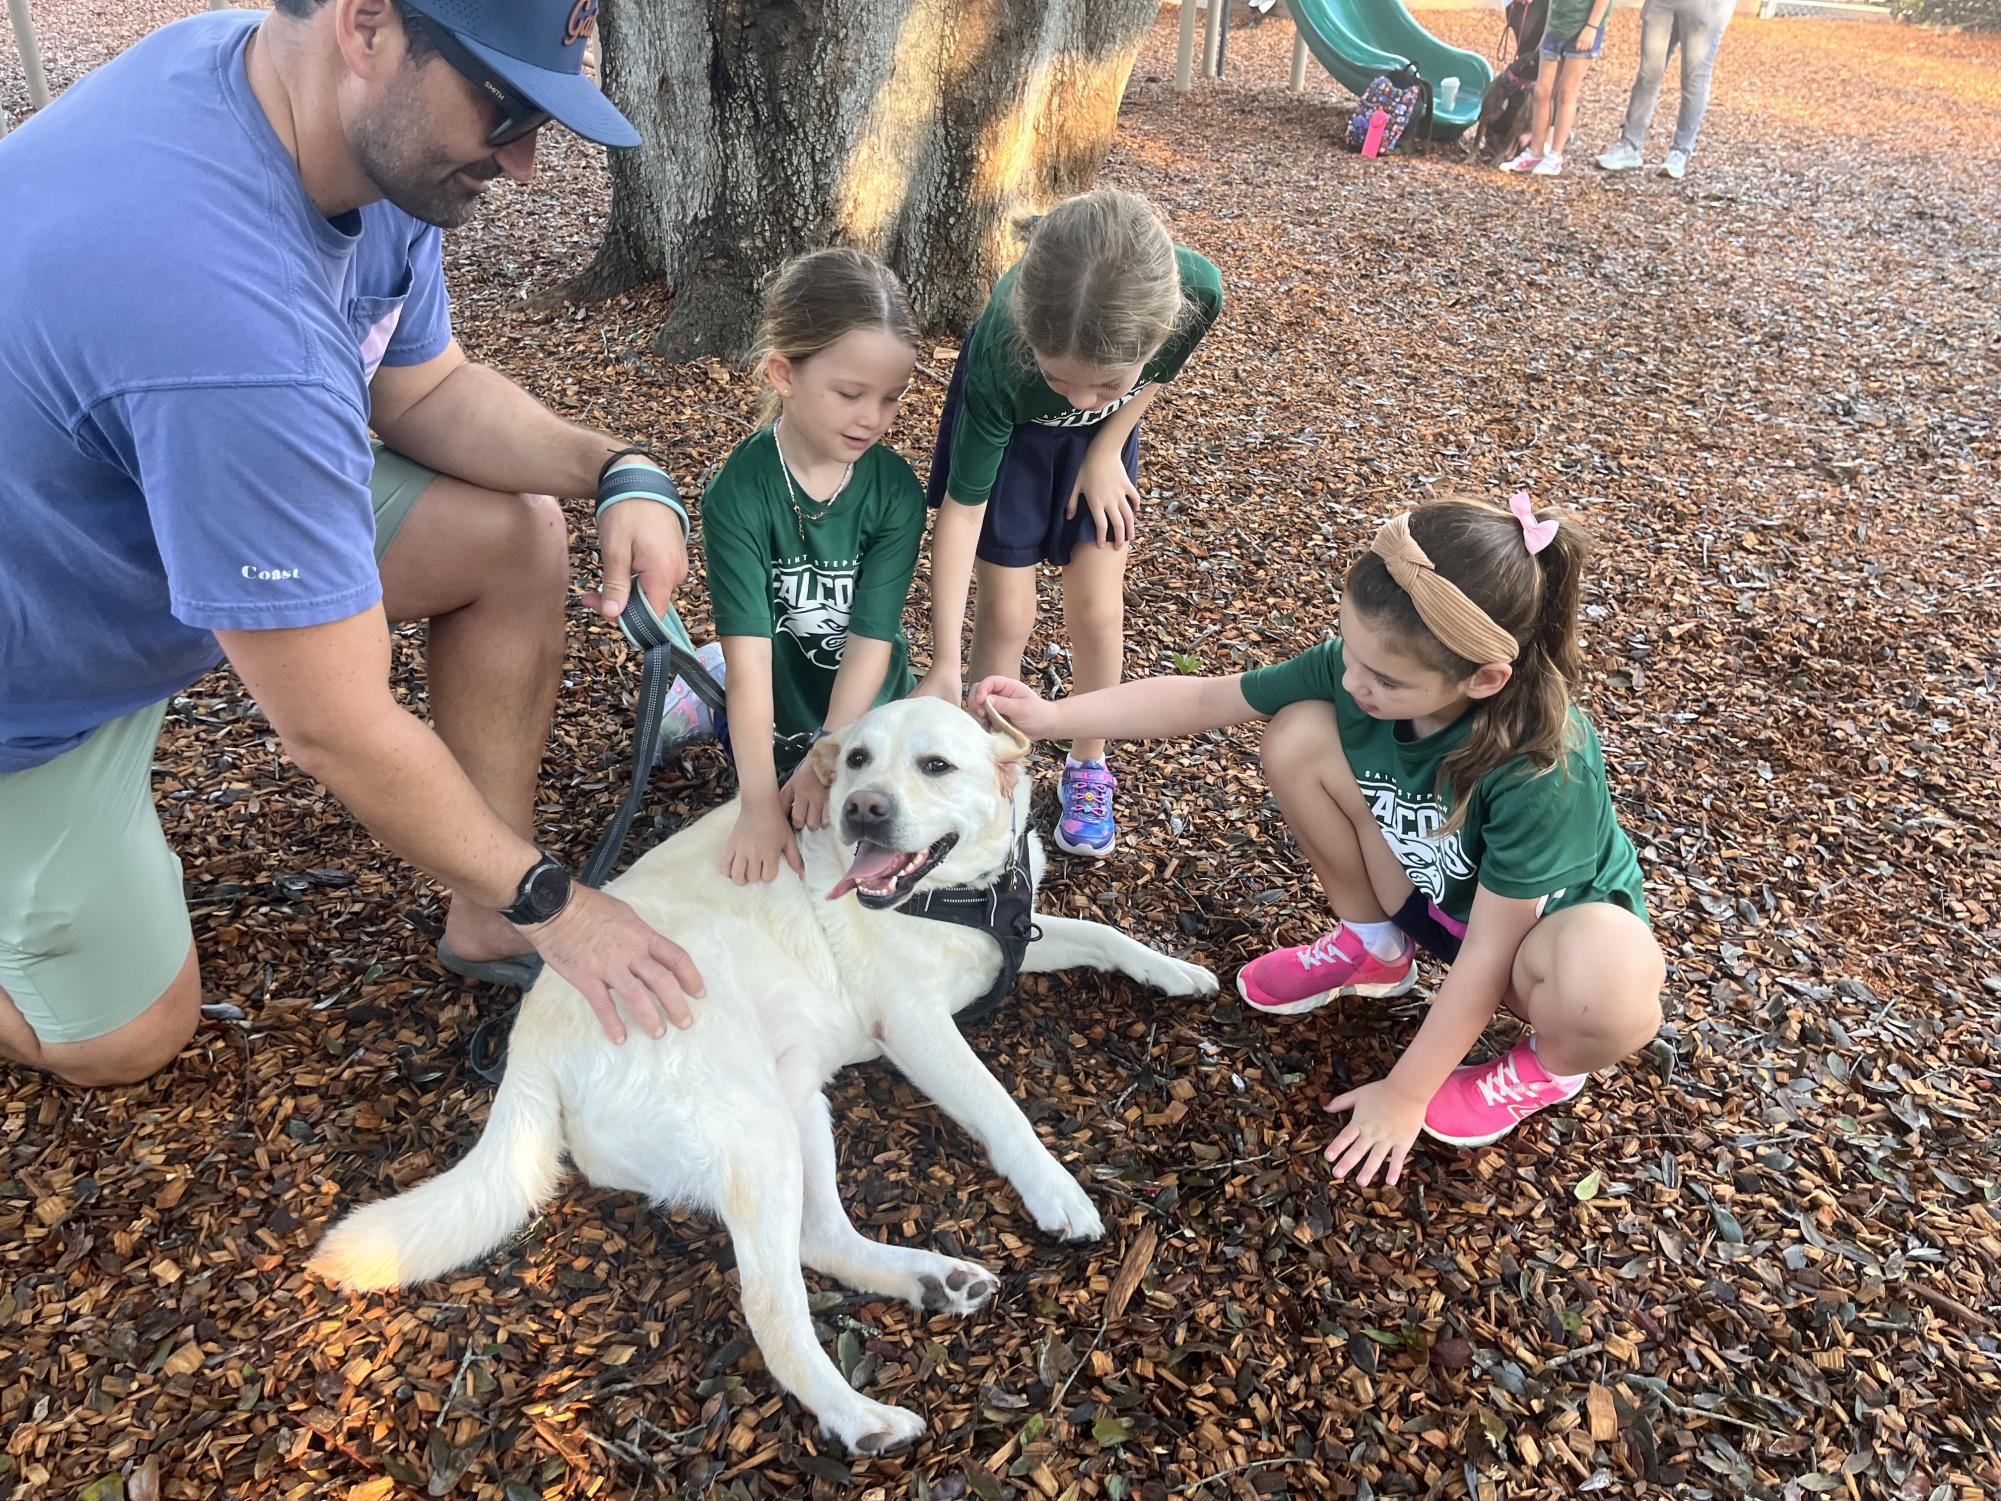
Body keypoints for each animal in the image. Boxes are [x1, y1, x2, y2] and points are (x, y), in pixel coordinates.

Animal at [314, 704, 1216, 1456]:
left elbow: (1104, 932)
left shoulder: (1013, 941)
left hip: (795, 1107)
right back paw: (860, 1415)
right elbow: (1003, 1109)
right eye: (856, 759)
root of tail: (530, 1041)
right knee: (774, 1307)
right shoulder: (916, 1025)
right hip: (757, 1133)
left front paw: (1177, 970)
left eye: (934, 765)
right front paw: (1055, 1190)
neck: (951, 892)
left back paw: (932, 1279)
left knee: (821, 1238)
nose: (862, 809)